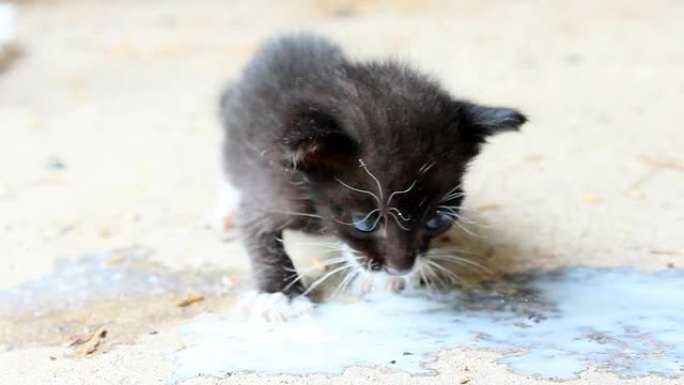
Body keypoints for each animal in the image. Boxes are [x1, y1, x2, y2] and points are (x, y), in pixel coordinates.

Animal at [219, 33, 524, 296]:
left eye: (437, 220)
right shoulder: (275, 190)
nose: (400, 269)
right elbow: (258, 233)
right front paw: (280, 296)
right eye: (365, 223)